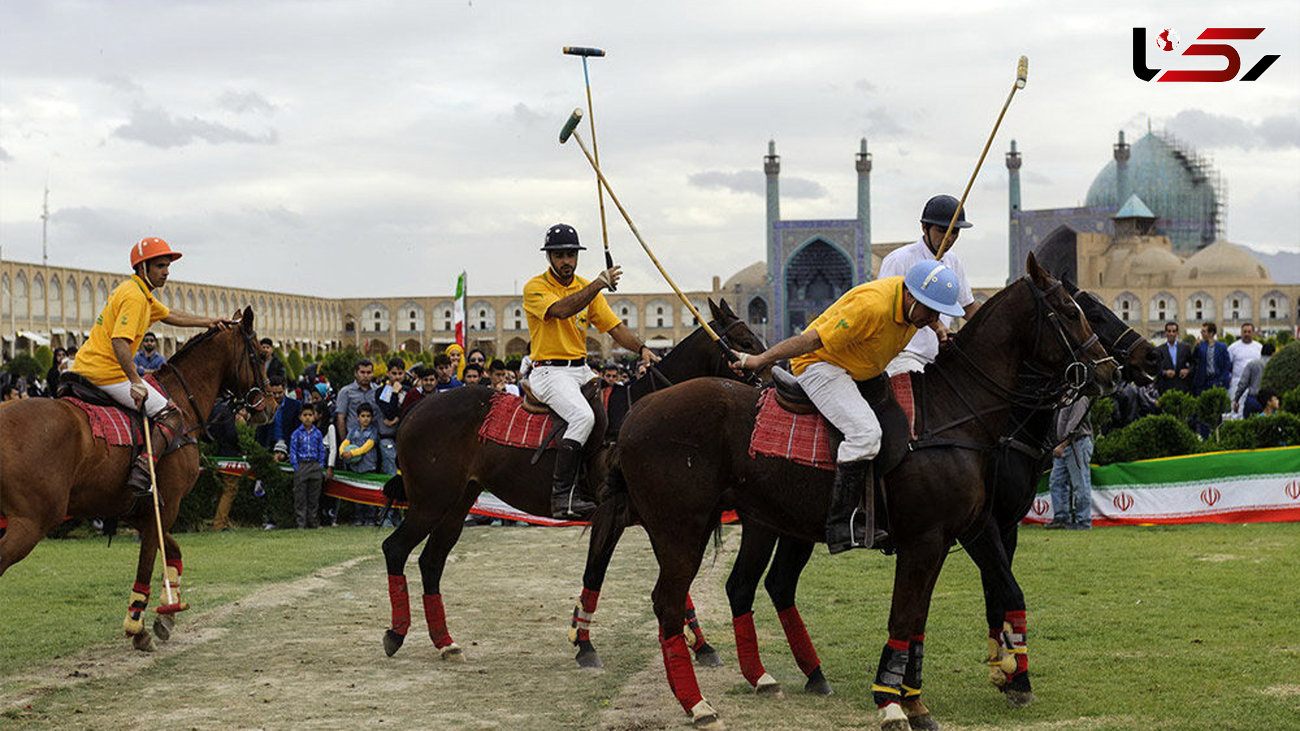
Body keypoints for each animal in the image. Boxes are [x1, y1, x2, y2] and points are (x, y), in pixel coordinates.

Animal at [0, 306, 274, 647]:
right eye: (259, 355)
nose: (271, 405)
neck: (182, 402)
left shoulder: (139, 511)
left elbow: (173, 552)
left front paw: (166, 616)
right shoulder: (166, 505)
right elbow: (147, 563)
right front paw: (137, 625)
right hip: (31, 522)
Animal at [377, 297, 764, 660]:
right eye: (745, 341)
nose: (770, 381)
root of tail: (415, 411)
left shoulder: (655, 517)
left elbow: (676, 582)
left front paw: (702, 645)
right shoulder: (611, 514)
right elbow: (595, 572)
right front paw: (584, 643)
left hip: (459, 500)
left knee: (431, 560)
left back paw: (445, 642)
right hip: (430, 500)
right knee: (395, 548)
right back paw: (396, 633)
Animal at [603, 256, 1112, 723]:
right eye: (1070, 311)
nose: (1106, 371)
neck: (954, 414)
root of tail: (634, 414)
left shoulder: (955, 534)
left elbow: (928, 617)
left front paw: (920, 700)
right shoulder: (927, 539)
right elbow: (906, 616)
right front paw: (891, 703)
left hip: (748, 522)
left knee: (740, 587)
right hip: (680, 528)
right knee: (669, 603)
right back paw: (696, 703)